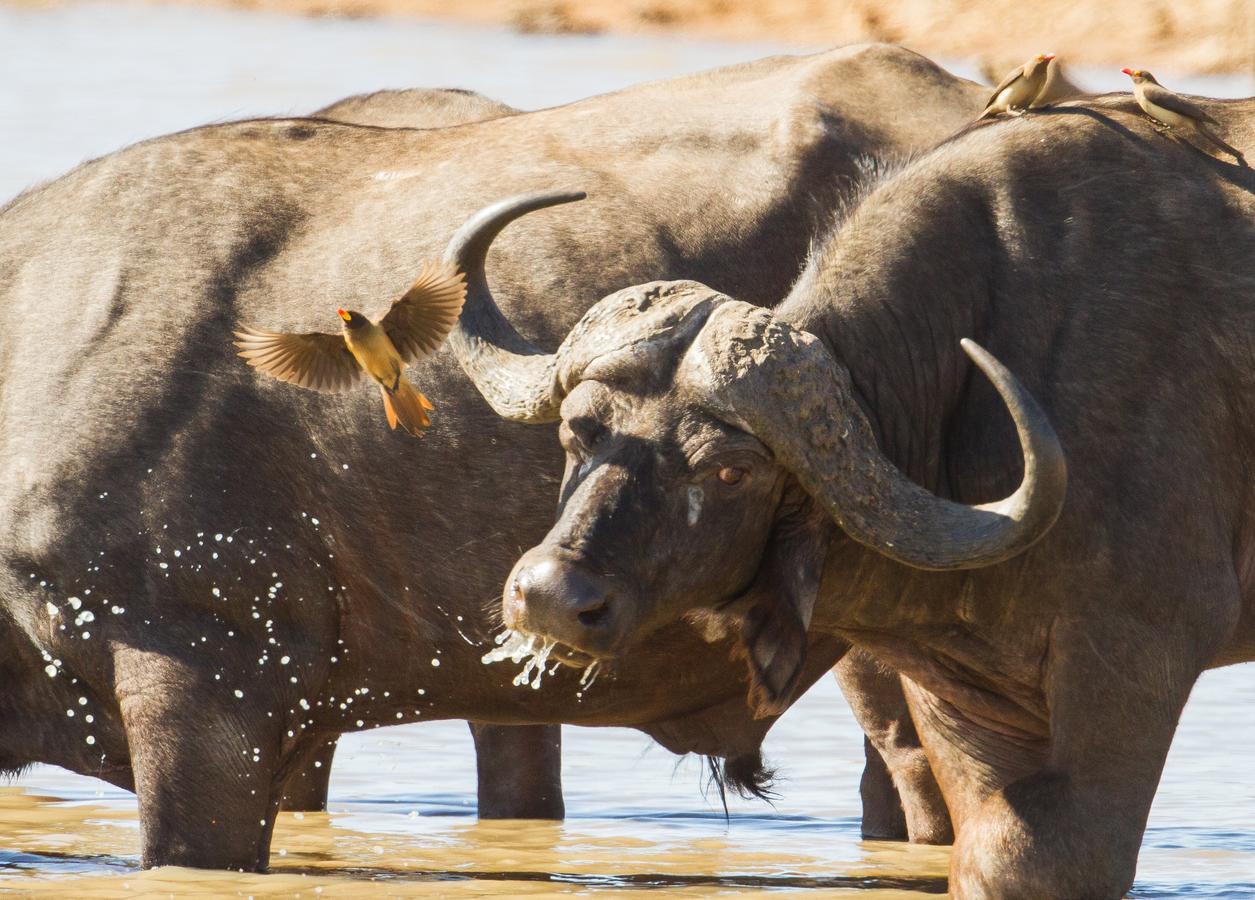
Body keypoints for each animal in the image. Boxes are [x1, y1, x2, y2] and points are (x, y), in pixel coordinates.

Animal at [459, 94, 1255, 893]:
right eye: (579, 429)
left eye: (729, 470)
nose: (551, 597)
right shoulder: (967, 701)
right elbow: (989, 854)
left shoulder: (1126, 668)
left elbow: (1051, 862)